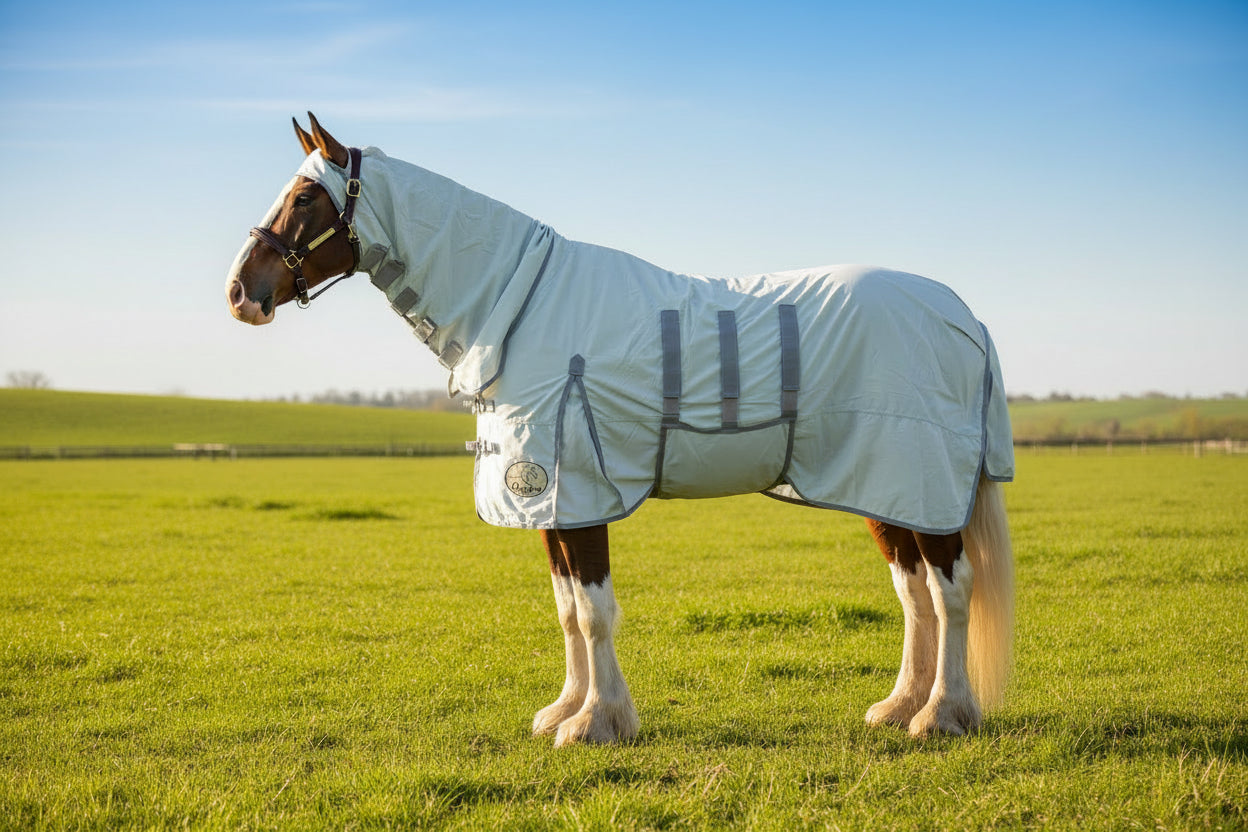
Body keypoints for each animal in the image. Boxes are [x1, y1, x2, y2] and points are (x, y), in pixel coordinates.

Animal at [226, 114, 1015, 745]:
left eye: (305, 197)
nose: (240, 293)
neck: (520, 307)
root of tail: (962, 316)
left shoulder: (576, 494)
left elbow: (595, 612)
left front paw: (597, 723)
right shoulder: (547, 501)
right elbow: (567, 610)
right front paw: (567, 709)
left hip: (920, 483)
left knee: (950, 591)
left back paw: (942, 714)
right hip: (888, 489)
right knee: (914, 594)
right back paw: (899, 705)